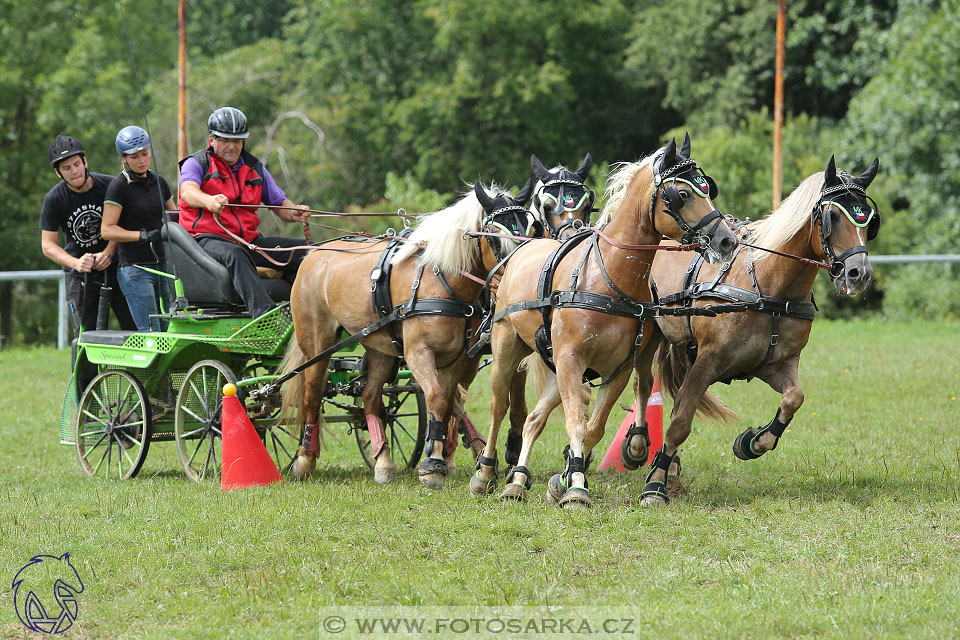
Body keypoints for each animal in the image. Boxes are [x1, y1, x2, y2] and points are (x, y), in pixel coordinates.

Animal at [284, 178, 540, 488]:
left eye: (531, 229)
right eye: (494, 235)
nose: (522, 274)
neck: (441, 281)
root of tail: (313, 254)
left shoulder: (458, 357)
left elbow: (447, 400)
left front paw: (440, 457)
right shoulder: (418, 353)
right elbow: (439, 398)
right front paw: (434, 464)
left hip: (379, 346)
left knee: (371, 397)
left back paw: (383, 461)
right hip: (317, 344)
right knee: (312, 393)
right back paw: (304, 459)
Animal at [470, 134, 736, 504]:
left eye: (707, 188)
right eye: (682, 194)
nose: (726, 240)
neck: (608, 276)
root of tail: (520, 251)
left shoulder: (616, 368)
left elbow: (592, 428)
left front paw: (566, 478)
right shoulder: (571, 360)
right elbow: (575, 423)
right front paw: (575, 487)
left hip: (557, 365)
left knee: (535, 418)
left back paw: (518, 479)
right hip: (508, 347)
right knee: (499, 405)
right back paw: (485, 472)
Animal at [624, 155, 884, 504]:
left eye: (868, 220)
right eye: (831, 217)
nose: (859, 273)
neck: (768, 285)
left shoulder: (774, 364)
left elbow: (794, 398)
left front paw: (752, 443)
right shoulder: (707, 362)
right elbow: (680, 421)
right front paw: (655, 486)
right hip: (650, 332)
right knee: (643, 382)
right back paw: (639, 446)